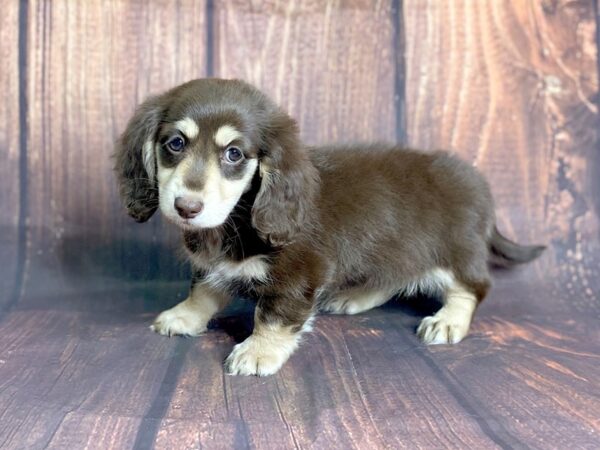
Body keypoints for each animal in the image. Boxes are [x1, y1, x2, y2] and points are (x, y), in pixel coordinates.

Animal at [115, 78, 548, 376]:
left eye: (234, 153)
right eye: (175, 143)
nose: (186, 207)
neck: (237, 220)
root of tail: (480, 185)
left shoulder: (298, 276)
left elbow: (273, 316)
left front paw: (258, 352)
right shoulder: (213, 267)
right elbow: (203, 290)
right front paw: (184, 317)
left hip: (453, 254)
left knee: (471, 288)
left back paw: (448, 321)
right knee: (393, 276)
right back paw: (354, 297)